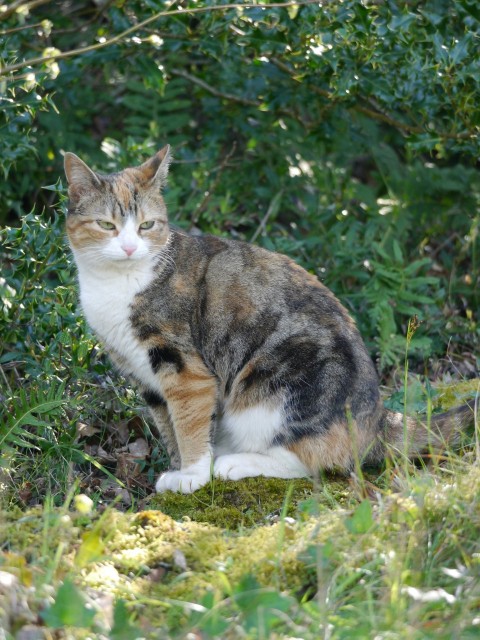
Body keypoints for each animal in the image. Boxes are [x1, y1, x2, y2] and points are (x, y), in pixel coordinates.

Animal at [62, 146, 472, 496]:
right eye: (107, 225)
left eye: (146, 225)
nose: (131, 247)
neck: (119, 284)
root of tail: (378, 418)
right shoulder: (143, 376)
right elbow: (170, 425)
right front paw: (178, 468)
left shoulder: (183, 366)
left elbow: (189, 422)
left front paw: (193, 474)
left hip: (278, 384)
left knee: (315, 461)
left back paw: (234, 463)